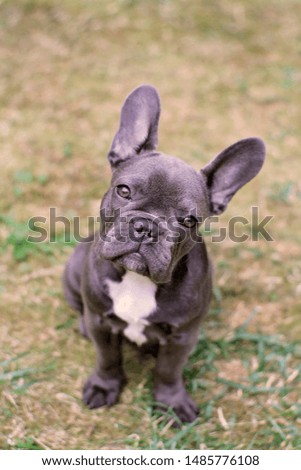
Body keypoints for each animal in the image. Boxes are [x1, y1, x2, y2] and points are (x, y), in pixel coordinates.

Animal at [63, 84, 264, 422]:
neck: (137, 280)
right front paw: (104, 386)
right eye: (124, 191)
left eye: (188, 220)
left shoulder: (182, 336)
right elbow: (107, 358)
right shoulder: (101, 324)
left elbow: (169, 370)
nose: (146, 227)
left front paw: (172, 402)